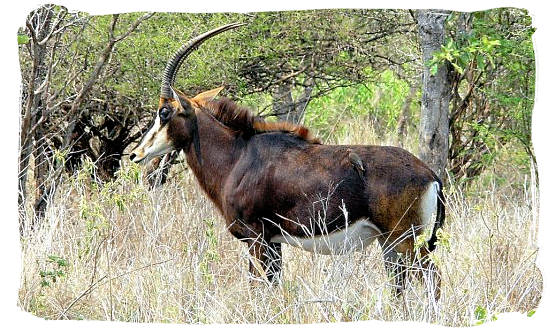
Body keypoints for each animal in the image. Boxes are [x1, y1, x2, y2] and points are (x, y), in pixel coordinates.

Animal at [130, 22, 448, 296]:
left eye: (164, 112)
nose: (136, 154)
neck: (239, 156)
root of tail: (430, 175)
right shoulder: (272, 242)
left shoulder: (256, 238)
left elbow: (260, 288)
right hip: (390, 243)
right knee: (400, 284)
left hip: (405, 240)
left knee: (433, 278)